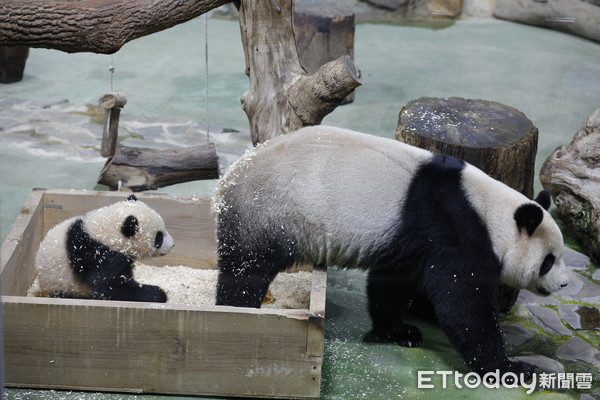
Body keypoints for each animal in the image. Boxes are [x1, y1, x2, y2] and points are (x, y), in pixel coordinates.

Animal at [30, 195, 173, 302]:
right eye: (158, 238)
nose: (172, 245)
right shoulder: (97, 254)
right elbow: (109, 284)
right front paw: (158, 294)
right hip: (62, 286)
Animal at [213, 126, 568, 378]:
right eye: (548, 261)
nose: (563, 284)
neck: (493, 215)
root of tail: (230, 177)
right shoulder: (454, 230)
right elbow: (463, 304)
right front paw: (511, 367)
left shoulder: (407, 241)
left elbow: (391, 283)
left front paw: (397, 331)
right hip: (269, 212)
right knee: (247, 270)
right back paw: (237, 308)